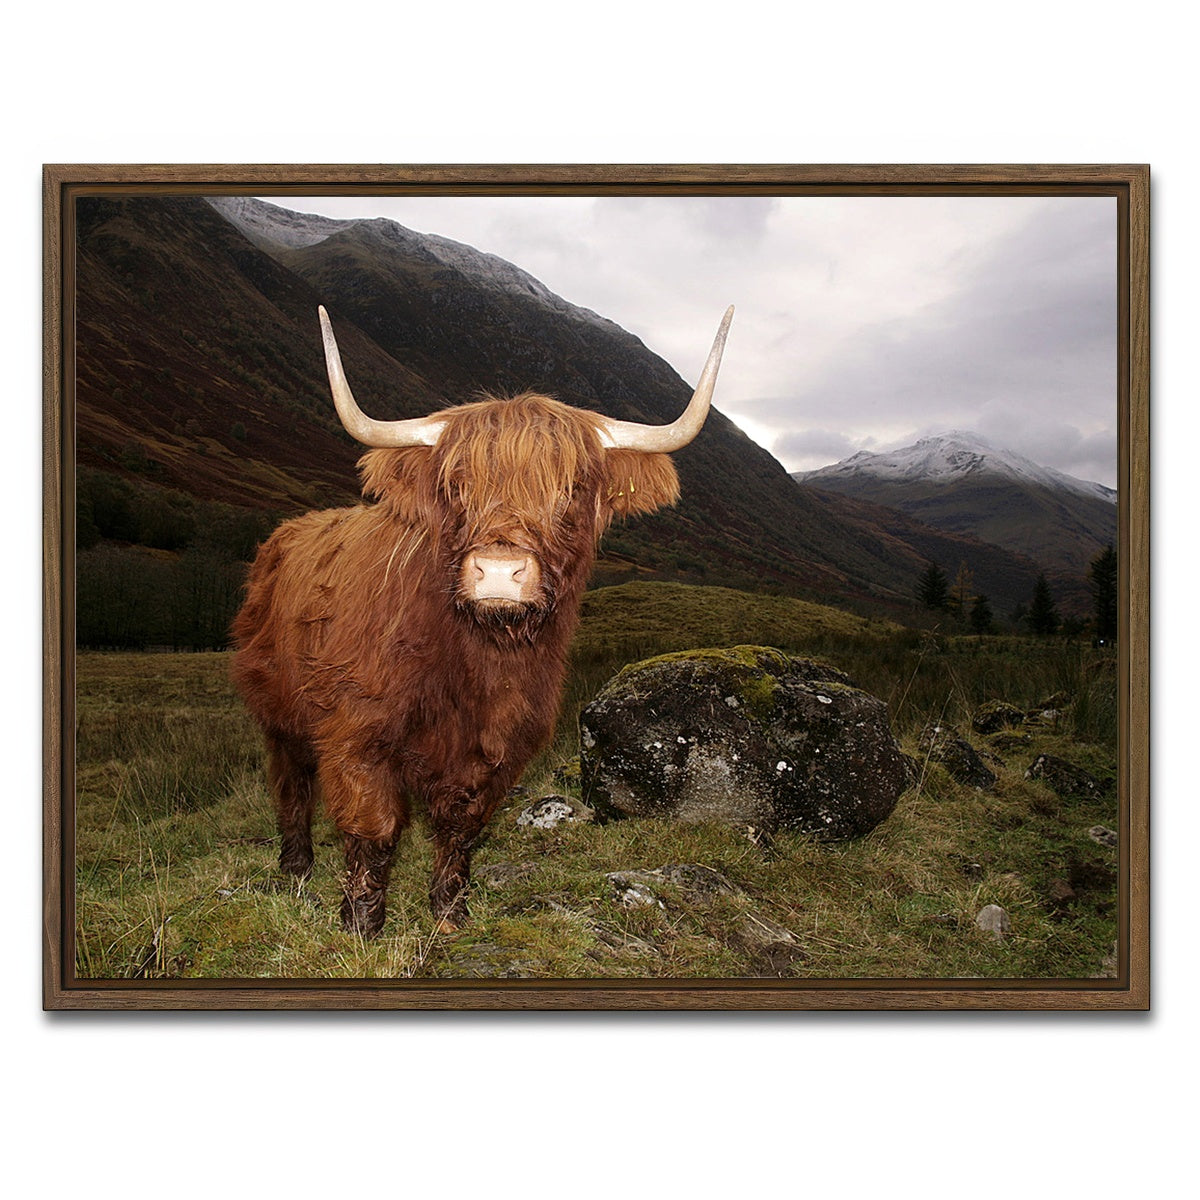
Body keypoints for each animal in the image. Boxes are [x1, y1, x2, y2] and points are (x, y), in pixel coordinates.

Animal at [231, 304, 733, 936]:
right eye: (455, 485)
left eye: (571, 488)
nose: (497, 572)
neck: (478, 662)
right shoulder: (356, 729)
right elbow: (373, 828)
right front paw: (360, 924)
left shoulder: (502, 744)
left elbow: (462, 827)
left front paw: (449, 913)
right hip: (278, 710)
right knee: (291, 785)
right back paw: (296, 867)